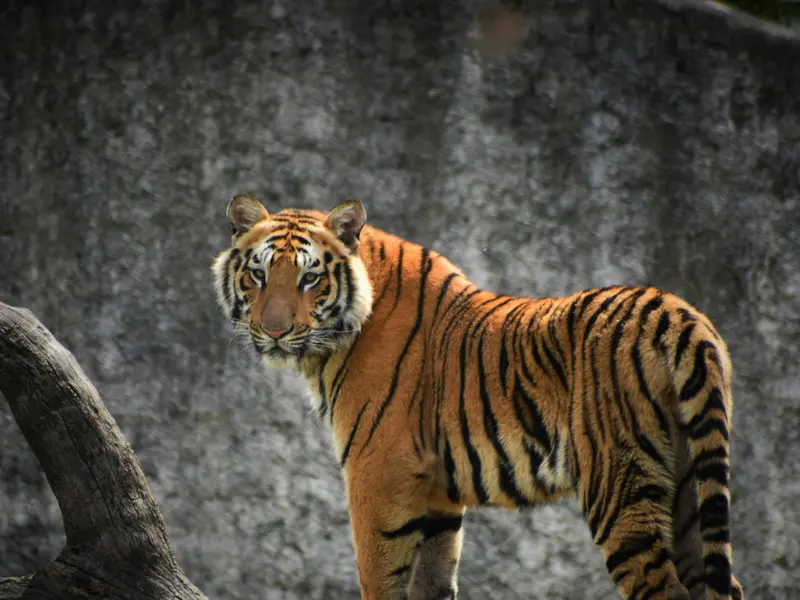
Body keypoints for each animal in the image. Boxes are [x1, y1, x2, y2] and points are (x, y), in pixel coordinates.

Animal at [212, 194, 744, 600]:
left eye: (309, 278)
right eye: (258, 275)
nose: (274, 331)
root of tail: (679, 315)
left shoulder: (376, 471)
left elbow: (379, 578)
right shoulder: (437, 494)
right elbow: (432, 583)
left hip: (619, 484)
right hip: (689, 484)